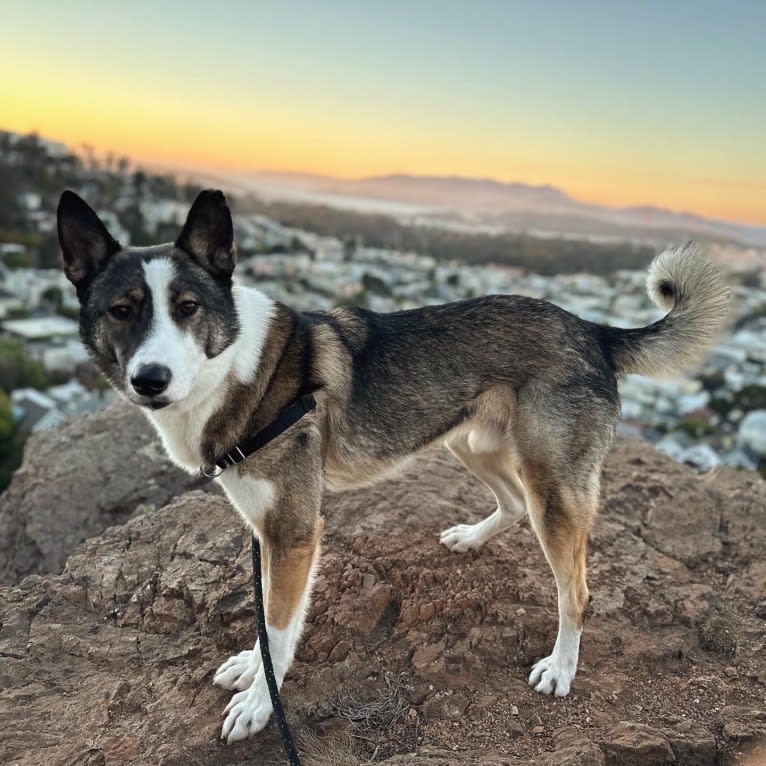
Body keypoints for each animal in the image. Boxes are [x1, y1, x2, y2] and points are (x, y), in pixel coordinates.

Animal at [55, 188, 732, 744]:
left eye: (189, 307)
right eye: (122, 310)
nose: (150, 379)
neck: (237, 369)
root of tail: (594, 330)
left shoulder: (294, 532)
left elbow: (279, 624)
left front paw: (259, 704)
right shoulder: (266, 529)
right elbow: (267, 620)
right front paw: (252, 667)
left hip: (553, 486)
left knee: (577, 589)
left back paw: (561, 667)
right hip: (471, 442)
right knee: (512, 503)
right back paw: (470, 538)